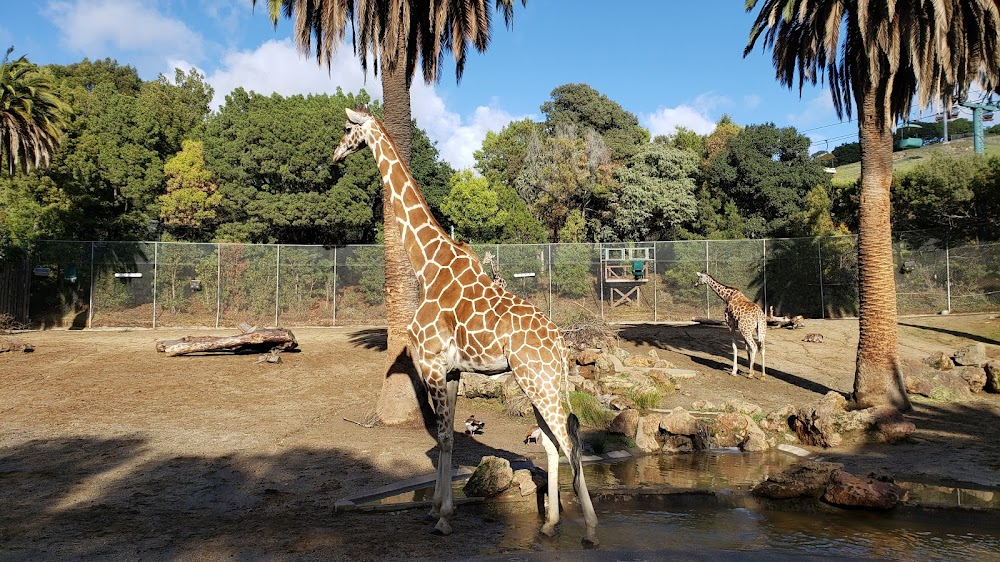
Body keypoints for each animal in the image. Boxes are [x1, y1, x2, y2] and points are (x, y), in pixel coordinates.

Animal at [334, 108, 600, 544]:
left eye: (346, 129)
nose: (335, 155)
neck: (427, 264)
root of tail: (561, 345)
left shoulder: (431, 364)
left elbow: (443, 437)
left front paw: (442, 517)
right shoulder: (453, 370)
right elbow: (449, 441)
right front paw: (437, 509)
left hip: (538, 381)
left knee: (569, 441)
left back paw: (591, 529)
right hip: (536, 382)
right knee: (550, 443)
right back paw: (549, 523)